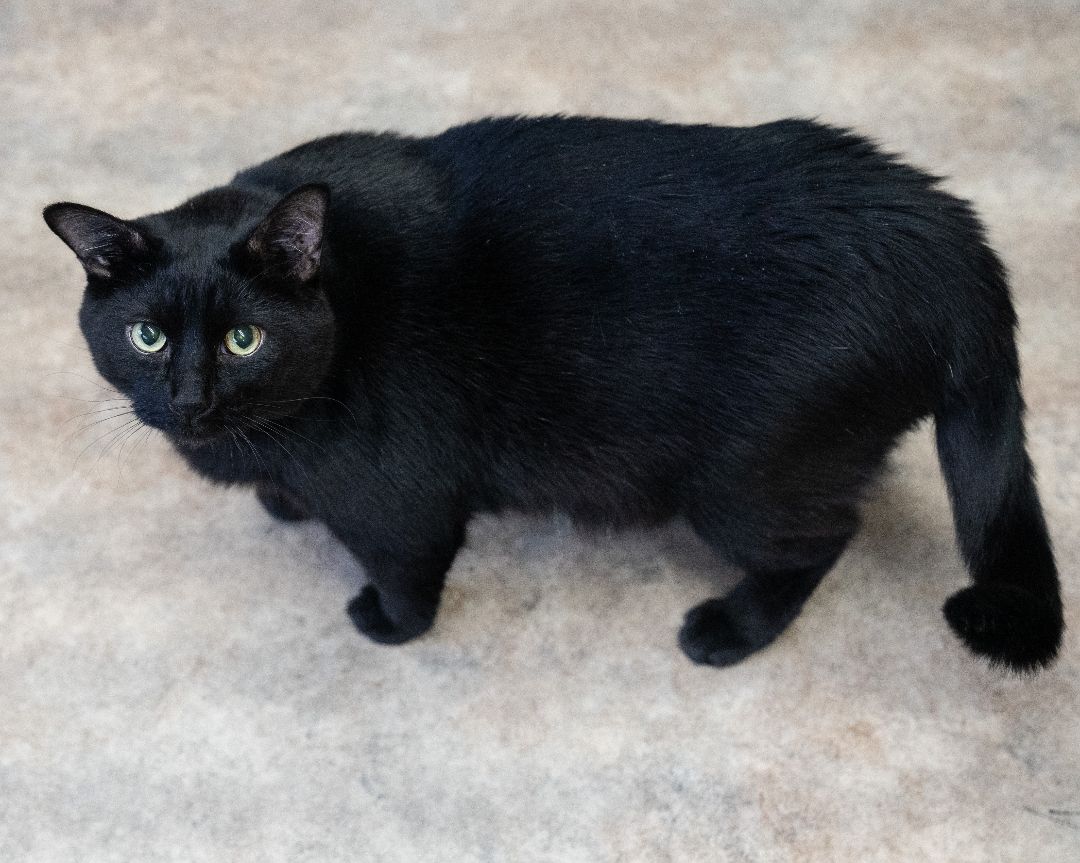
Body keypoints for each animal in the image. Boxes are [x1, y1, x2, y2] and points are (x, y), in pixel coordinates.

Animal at [44, 116, 1062, 669]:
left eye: (244, 339)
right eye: (146, 336)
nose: (189, 399)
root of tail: (950, 236)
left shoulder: (401, 504)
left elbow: (408, 571)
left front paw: (388, 624)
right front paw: (282, 501)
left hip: (743, 480)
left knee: (821, 540)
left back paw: (729, 629)